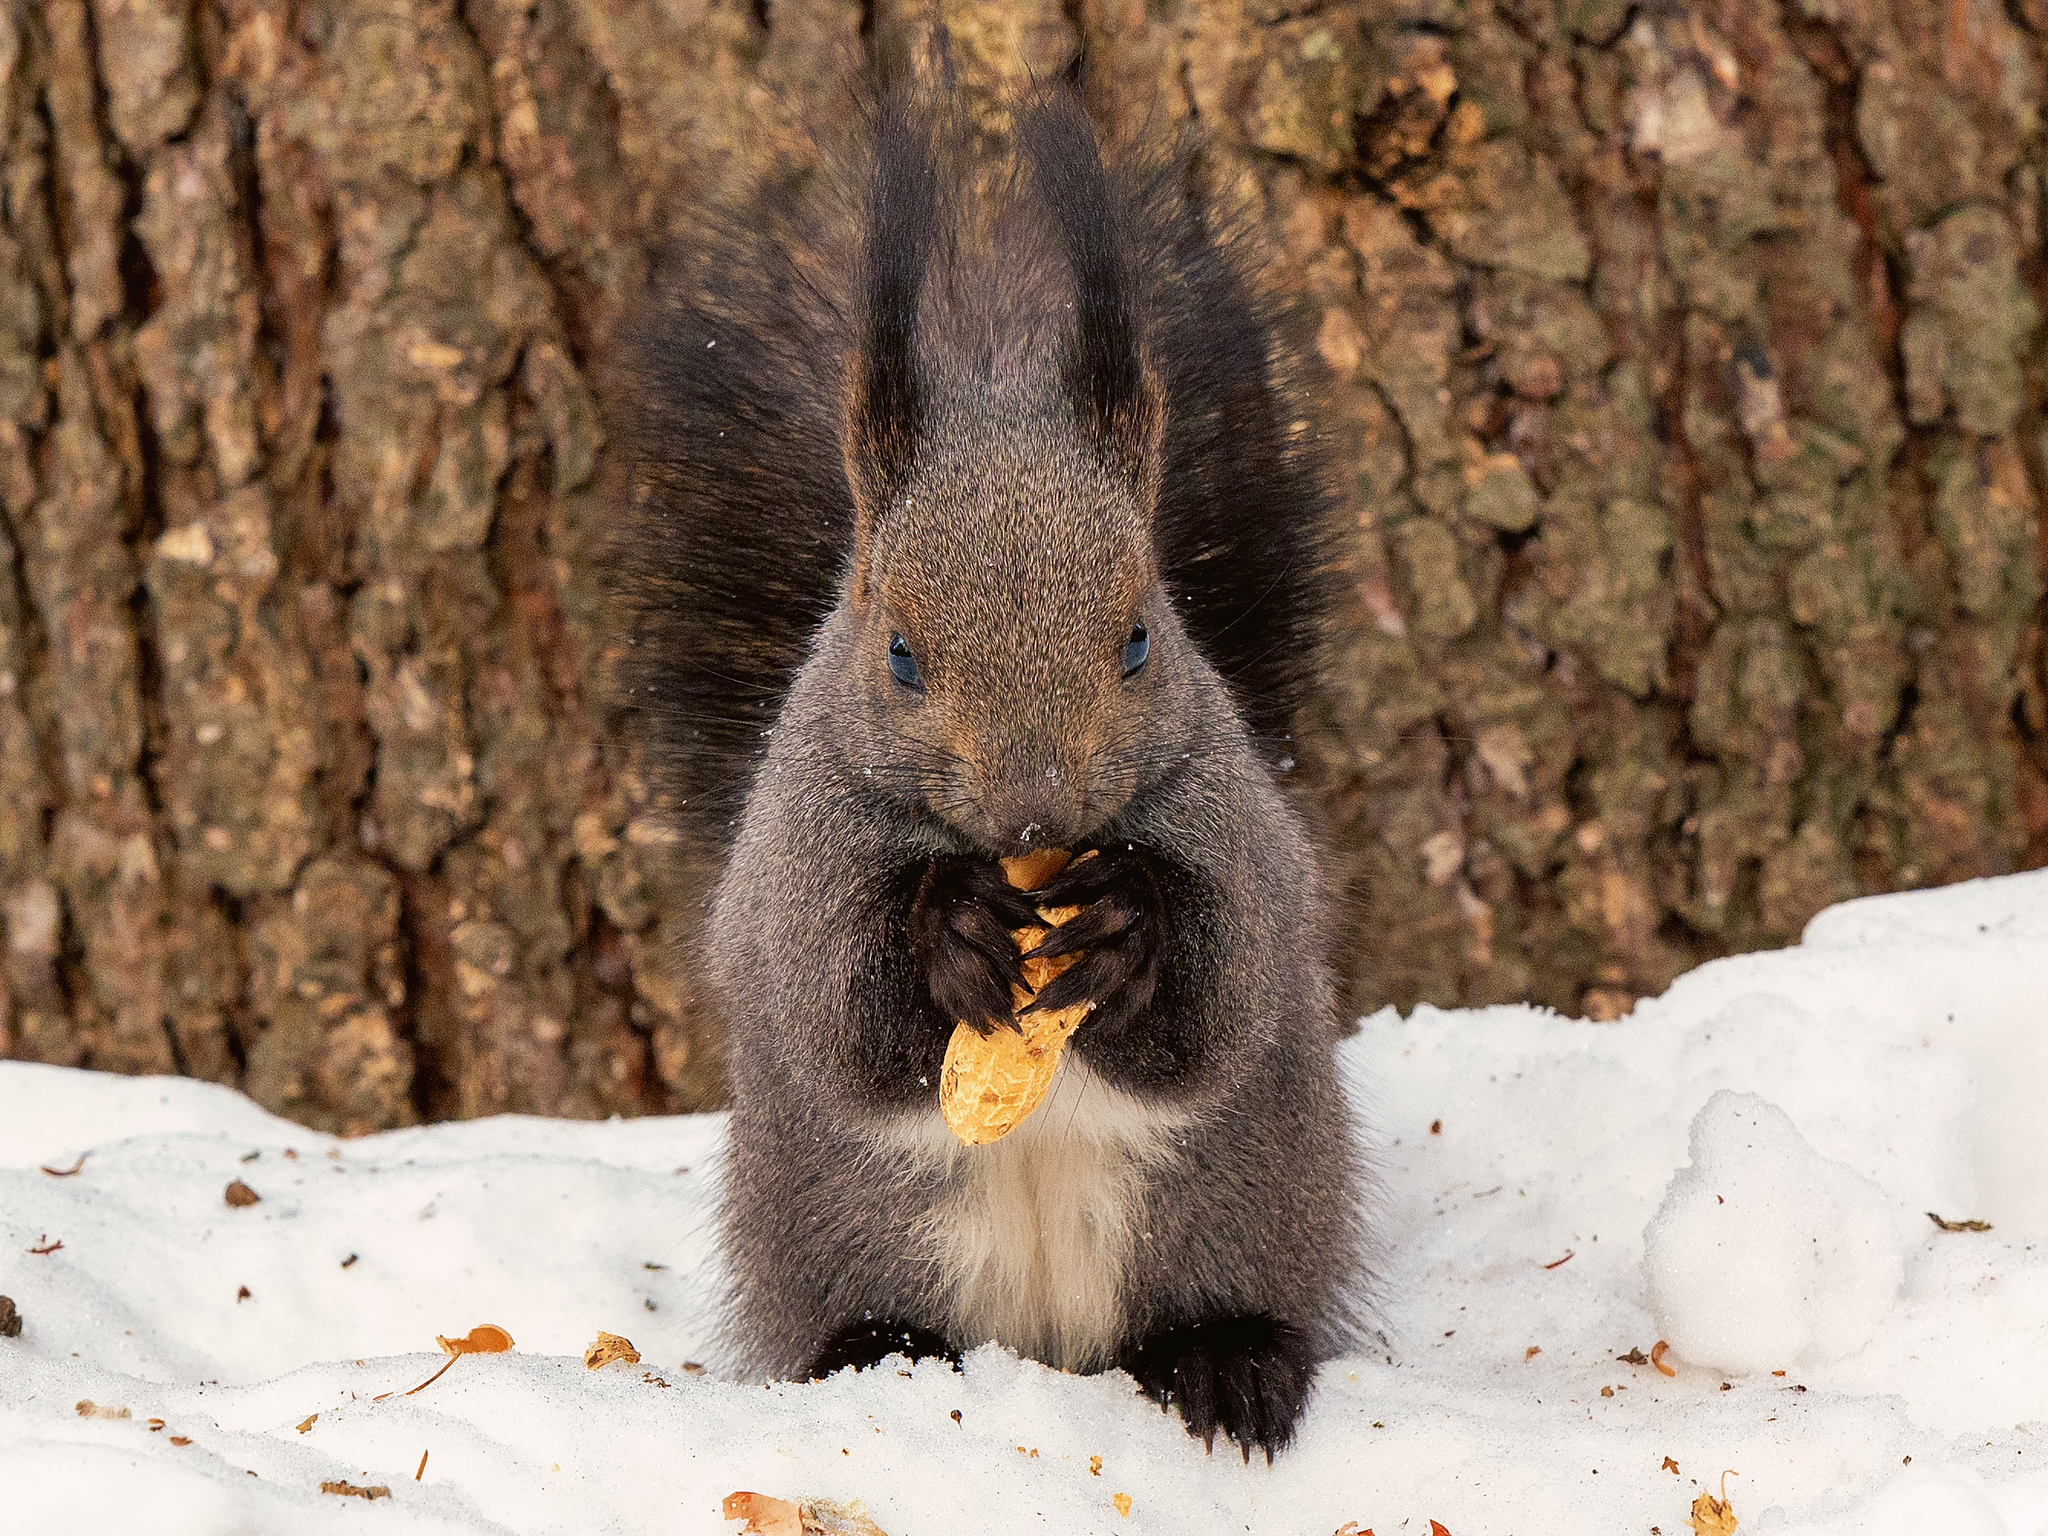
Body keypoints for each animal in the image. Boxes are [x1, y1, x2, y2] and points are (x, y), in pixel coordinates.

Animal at [610, 83, 1376, 1466]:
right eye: (899, 653)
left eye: (1140, 636)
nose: (1035, 810)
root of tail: (1048, 1341)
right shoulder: (793, 858)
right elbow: (834, 1011)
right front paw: (946, 928)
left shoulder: (1237, 829)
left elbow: (1223, 991)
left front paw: (1126, 921)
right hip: (847, 1220)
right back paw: (875, 1352)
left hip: (1233, 1198)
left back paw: (1228, 1360)